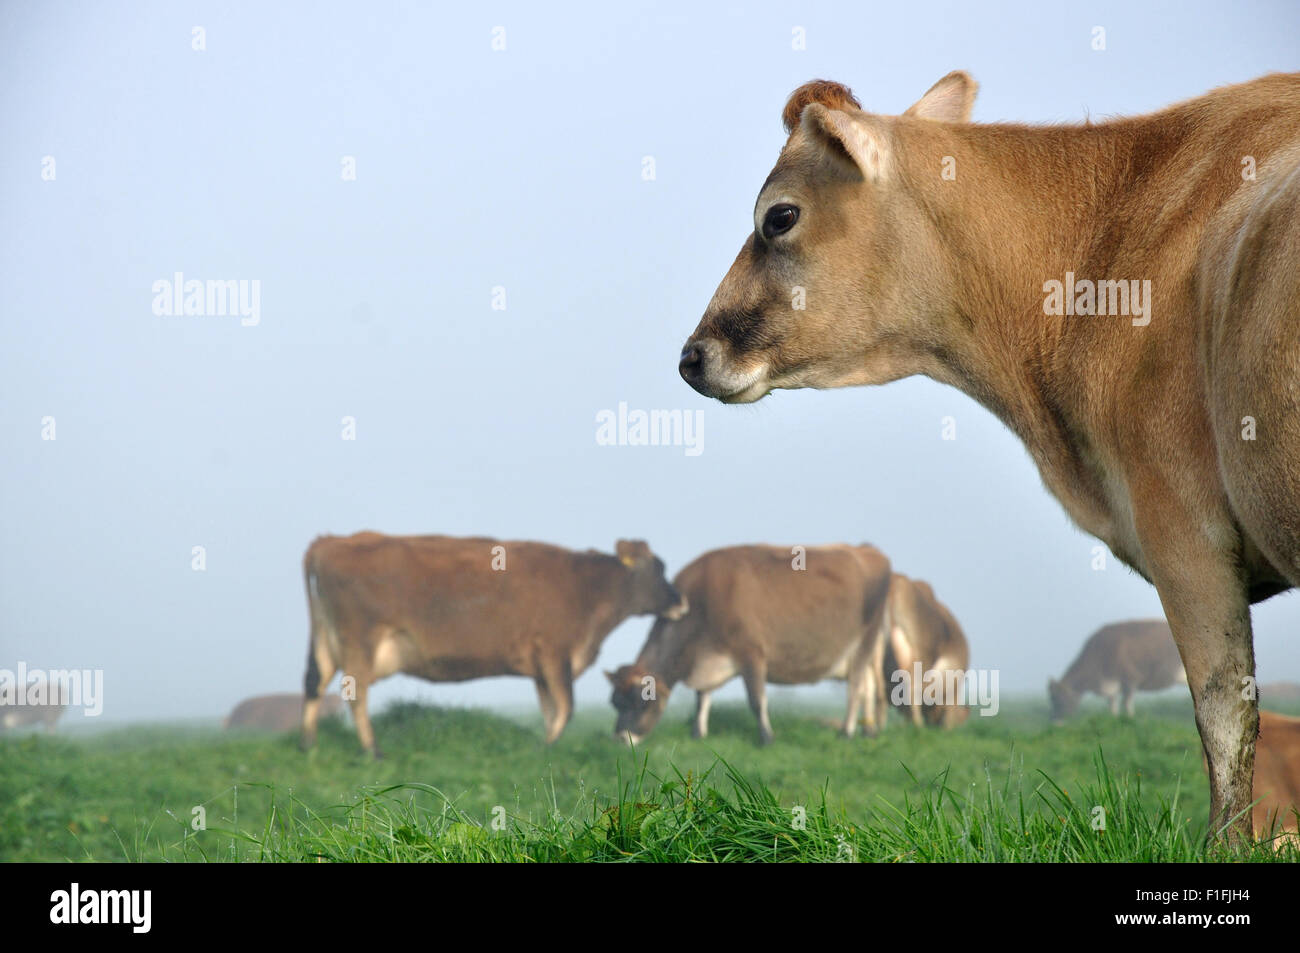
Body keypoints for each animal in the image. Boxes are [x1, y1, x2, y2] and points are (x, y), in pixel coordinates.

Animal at [300, 533, 686, 754]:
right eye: (659, 568)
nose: (681, 602)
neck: (588, 587)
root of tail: (330, 541)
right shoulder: (555, 653)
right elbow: (566, 708)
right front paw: (547, 748)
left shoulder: (541, 667)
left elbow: (550, 709)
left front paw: (545, 743)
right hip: (359, 642)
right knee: (355, 694)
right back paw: (372, 750)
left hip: (326, 639)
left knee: (314, 683)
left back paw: (310, 745)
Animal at [607, 543, 891, 745]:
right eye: (615, 703)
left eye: (641, 702)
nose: (621, 738)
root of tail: (867, 550)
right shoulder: (705, 656)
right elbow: (701, 698)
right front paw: (698, 734)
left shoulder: (751, 652)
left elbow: (756, 700)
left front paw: (766, 738)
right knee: (868, 684)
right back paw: (869, 731)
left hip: (865, 638)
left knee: (856, 685)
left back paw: (847, 731)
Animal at [1048, 620, 1187, 723]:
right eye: (1051, 699)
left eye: (1059, 699)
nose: (1055, 722)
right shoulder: (1112, 686)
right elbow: (1112, 707)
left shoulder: (1130, 679)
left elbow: (1126, 704)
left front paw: (1130, 720)